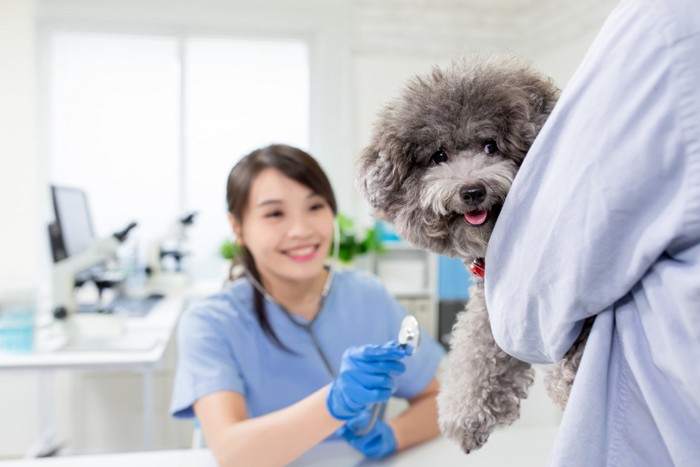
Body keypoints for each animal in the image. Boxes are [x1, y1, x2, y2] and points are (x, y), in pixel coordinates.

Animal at [356, 54, 592, 454]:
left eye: (490, 146)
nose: (471, 191)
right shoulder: (491, 303)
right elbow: (477, 350)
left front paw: (571, 378)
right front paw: (466, 414)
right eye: (439, 155)